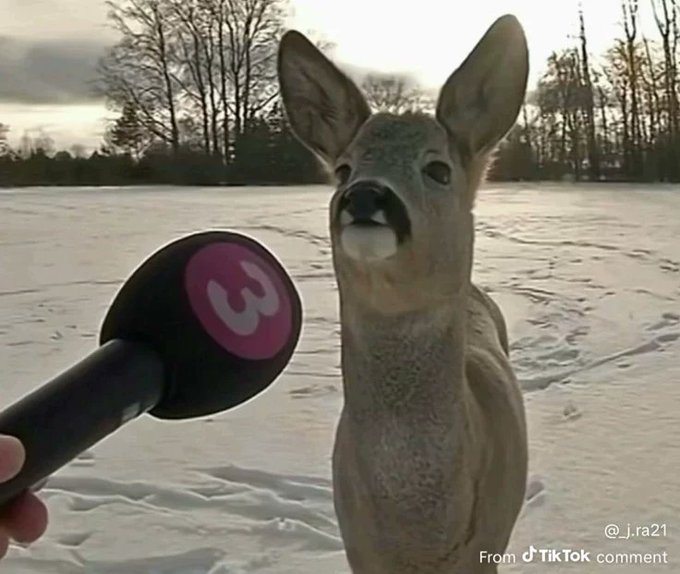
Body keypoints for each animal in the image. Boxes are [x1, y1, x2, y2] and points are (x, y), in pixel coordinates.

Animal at [277, 14, 529, 574]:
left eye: (438, 169)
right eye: (343, 169)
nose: (364, 196)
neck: (419, 538)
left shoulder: (490, 544)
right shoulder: (358, 549)